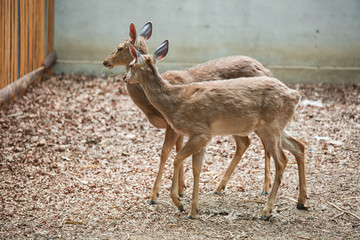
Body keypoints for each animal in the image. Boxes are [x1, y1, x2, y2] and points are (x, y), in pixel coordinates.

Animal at [102, 22, 278, 204]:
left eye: (120, 47)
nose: (105, 61)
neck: (152, 105)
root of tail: (268, 72)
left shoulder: (173, 124)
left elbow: (165, 152)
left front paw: (155, 196)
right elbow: (178, 149)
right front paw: (181, 189)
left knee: (263, 144)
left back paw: (265, 187)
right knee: (245, 143)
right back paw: (220, 187)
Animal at [124, 40, 306, 219]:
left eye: (131, 65)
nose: (125, 78)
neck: (175, 101)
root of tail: (296, 95)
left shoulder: (201, 132)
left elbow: (177, 158)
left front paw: (179, 202)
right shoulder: (202, 138)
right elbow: (196, 169)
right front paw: (193, 210)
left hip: (271, 126)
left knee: (281, 160)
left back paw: (266, 211)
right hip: (275, 127)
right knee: (299, 146)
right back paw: (301, 201)